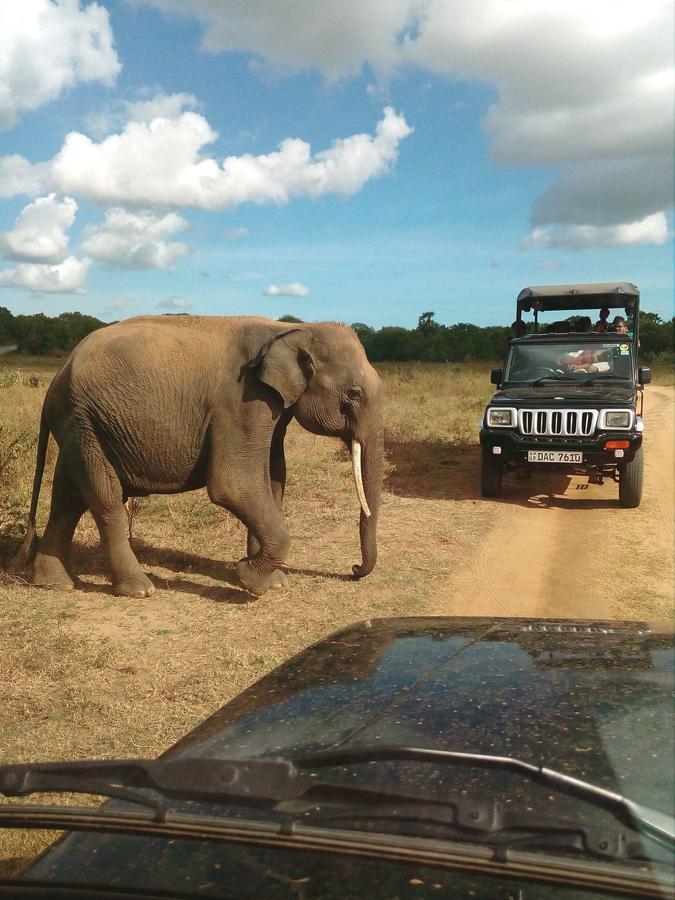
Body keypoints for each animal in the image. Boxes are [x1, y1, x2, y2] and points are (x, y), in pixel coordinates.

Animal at [17, 316, 386, 596]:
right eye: (354, 393)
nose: (353, 568)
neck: (292, 328)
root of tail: (55, 379)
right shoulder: (241, 401)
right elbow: (234, 484)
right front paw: (249, 580)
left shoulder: (272, 407)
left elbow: (273, 478)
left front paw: (273, 581)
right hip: (85, 422)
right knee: (105, 498)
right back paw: (139, 590)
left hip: (81, 427)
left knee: (68, 497)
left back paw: (55, 584)